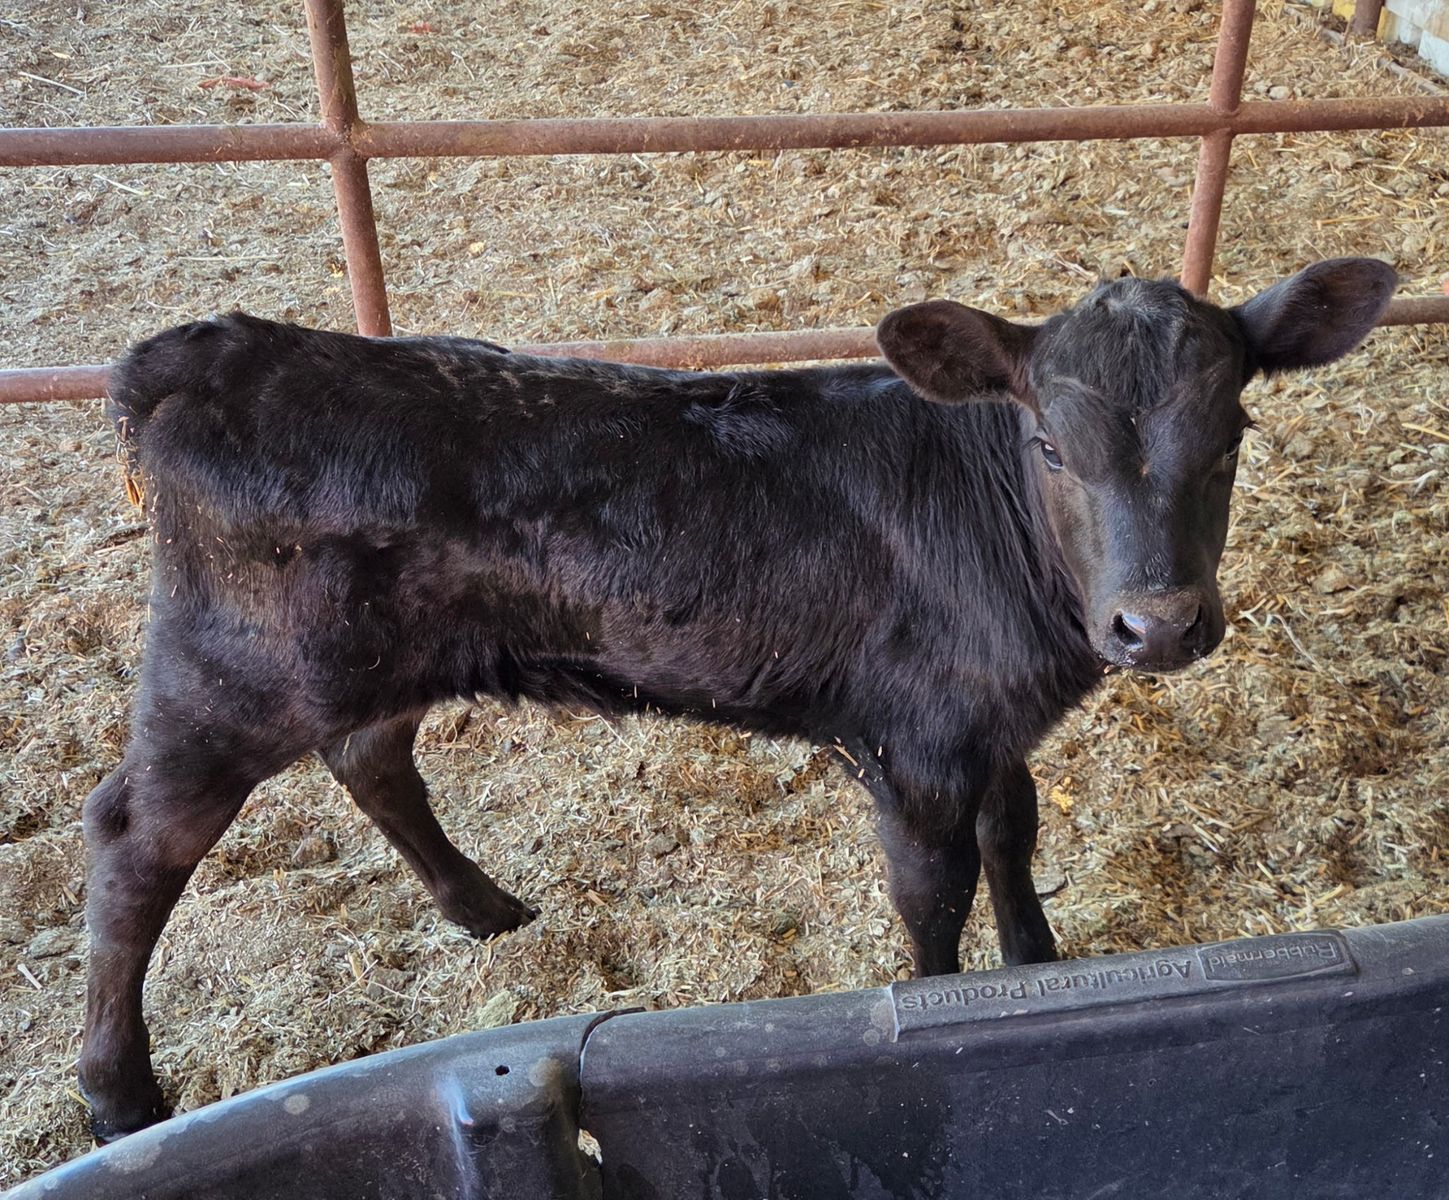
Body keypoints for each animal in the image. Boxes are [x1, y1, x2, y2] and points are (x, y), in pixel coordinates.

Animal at [78, 258, 1395, 1140]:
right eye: (1053, 447)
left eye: (1233, 432)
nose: (1157, 624)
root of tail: (211, 351)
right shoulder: (914, 741)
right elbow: (934, 895)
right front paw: (948, 1010)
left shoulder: (990, 723)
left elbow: (1015, 836)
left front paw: (1040, 963)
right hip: (232, 672)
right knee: (134, 838)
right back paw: (120, 1095)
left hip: (378, 661)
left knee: (371, 760)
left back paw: (484, 907)